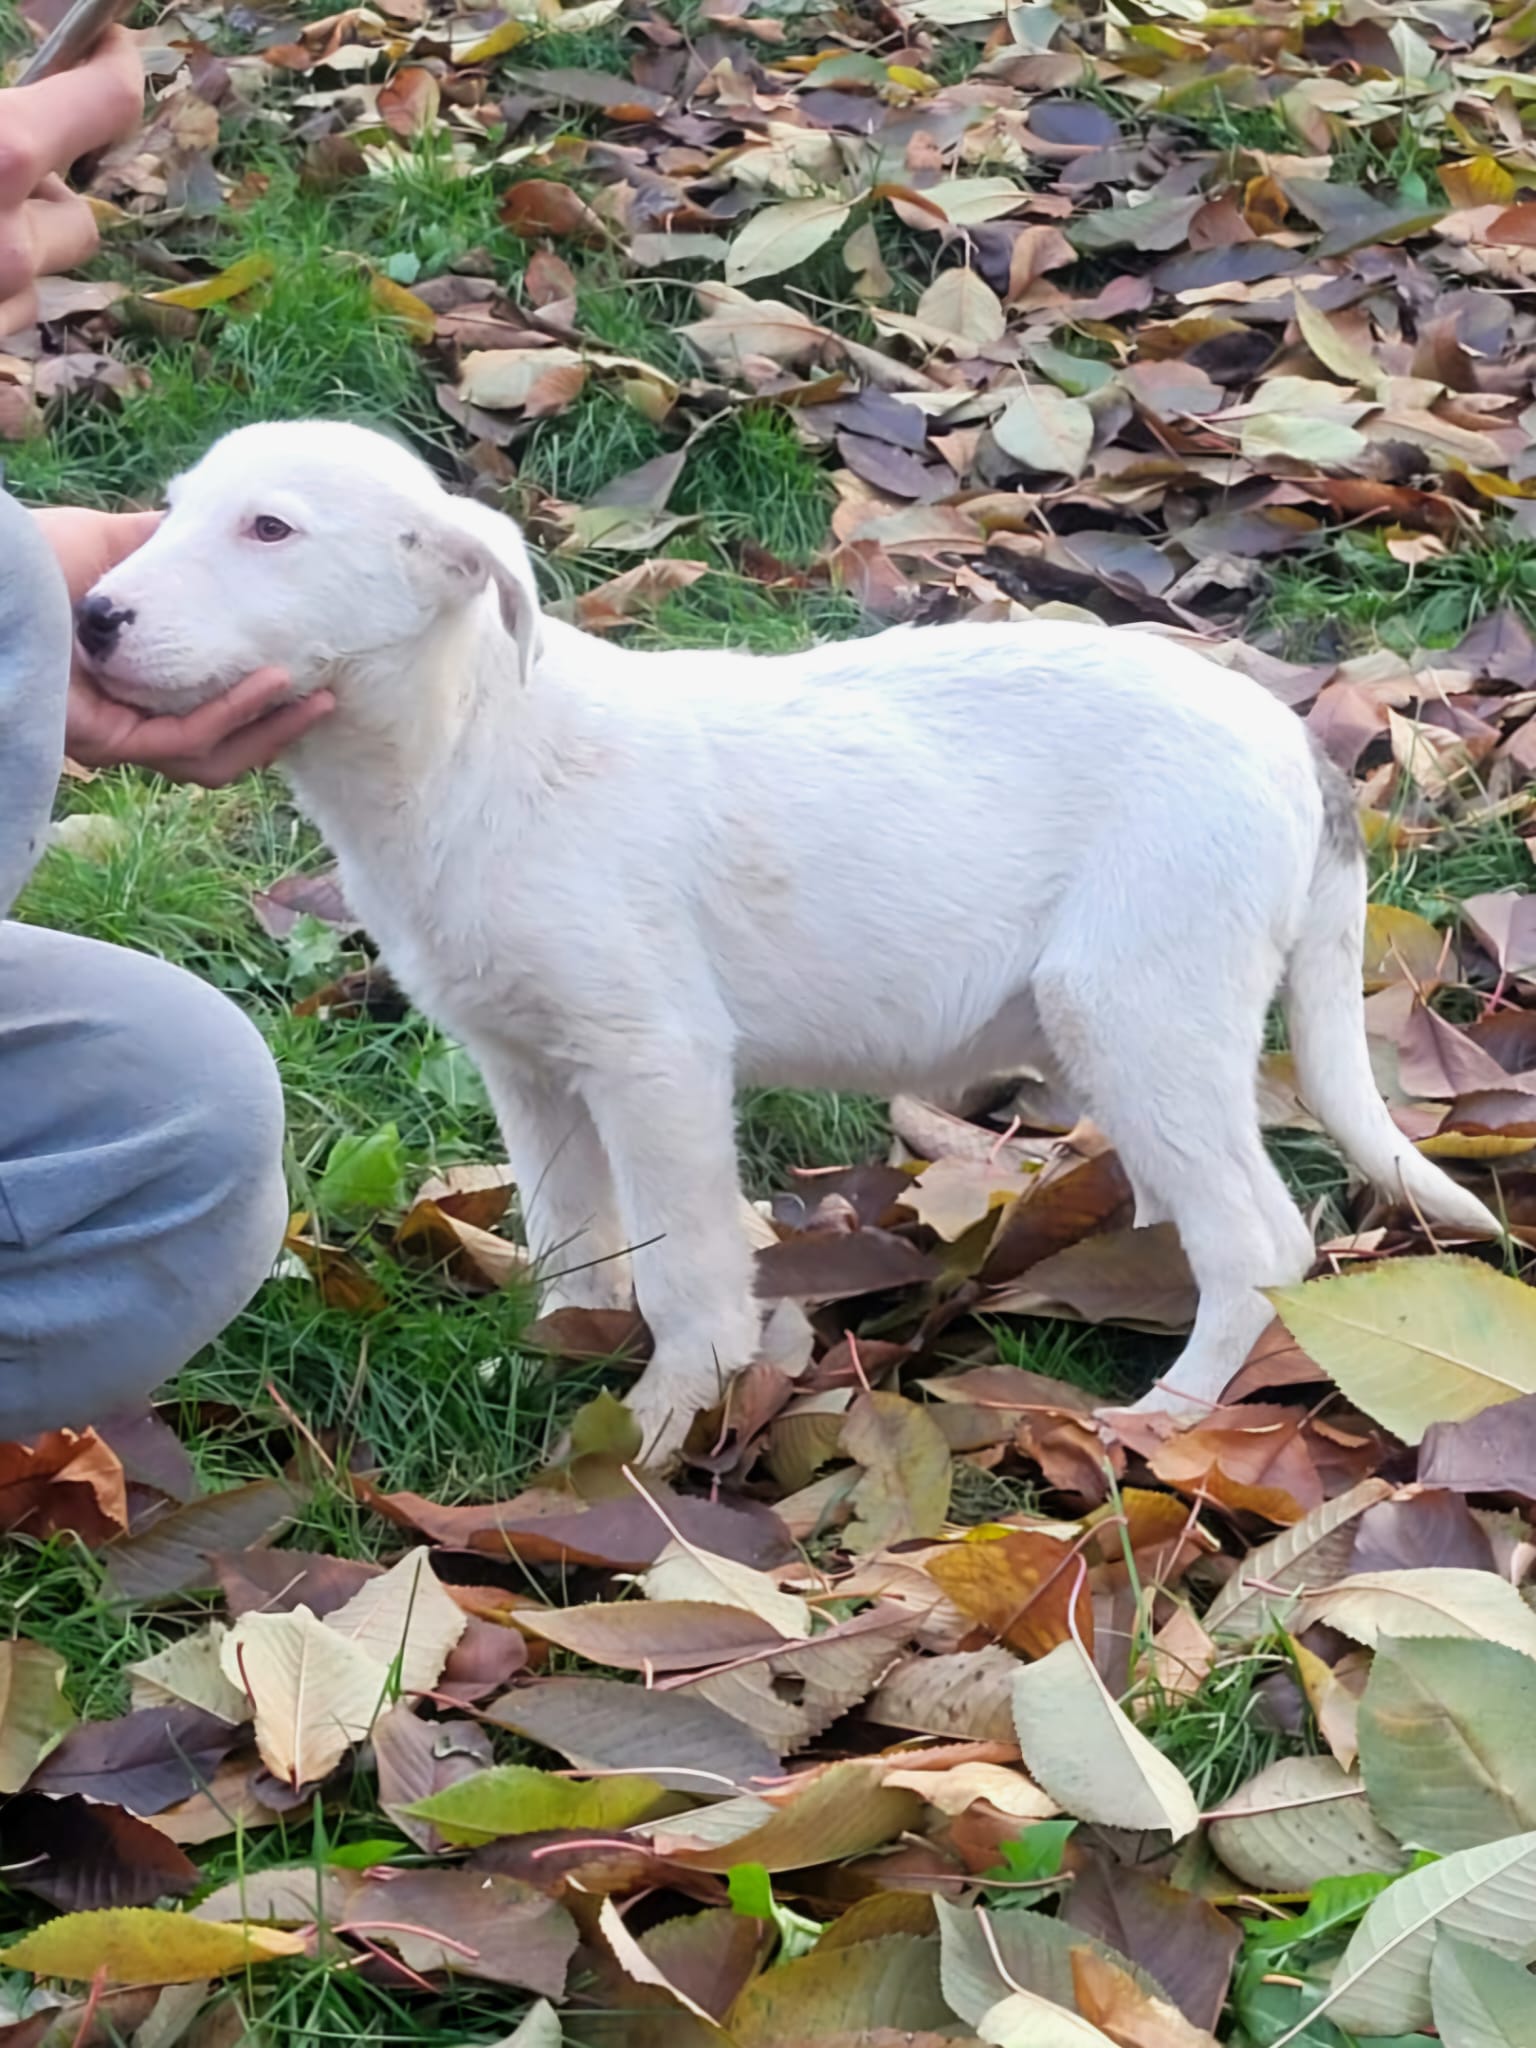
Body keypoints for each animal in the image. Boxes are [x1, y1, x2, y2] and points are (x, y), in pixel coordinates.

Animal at [76, 420, 1501, 1461]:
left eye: (269, 529)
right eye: (174, 510)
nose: (88, 616)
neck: (468, 749)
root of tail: (1294, 741)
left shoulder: (654, 1058)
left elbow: (688, 1260)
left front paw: (664, 1420)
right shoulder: (529, 1067)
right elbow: (573, 1234)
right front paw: (565, 1343)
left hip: (1140, 1001)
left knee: (1263, 1243)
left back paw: (1170, 1413)